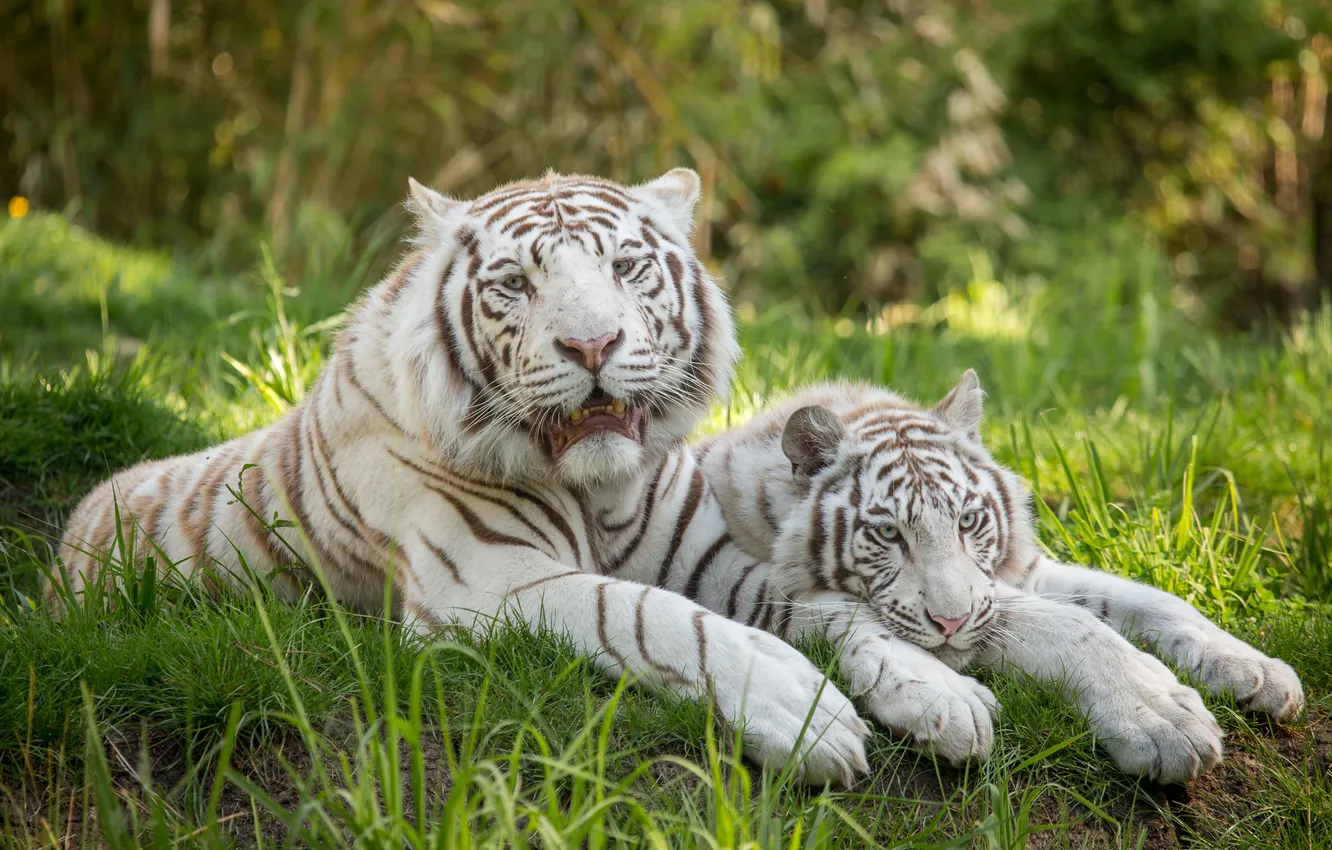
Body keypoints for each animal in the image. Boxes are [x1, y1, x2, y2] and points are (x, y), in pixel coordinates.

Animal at [53, 169, 871, 786]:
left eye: (624, 266)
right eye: (515, 282)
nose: (593, 343)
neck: (600, 491)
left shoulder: (714, 558)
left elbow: (834, 611)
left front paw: (904, 688)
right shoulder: (484, 583)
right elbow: (645, 614)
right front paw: (805, 714)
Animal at [694, 370, 1305, 783]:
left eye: (967, 520)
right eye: (888, 533)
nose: (950, 621)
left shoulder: (1022, 574)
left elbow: (1154, 602)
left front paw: (1258, 670)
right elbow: (1077, 626)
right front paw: (1163, 718)